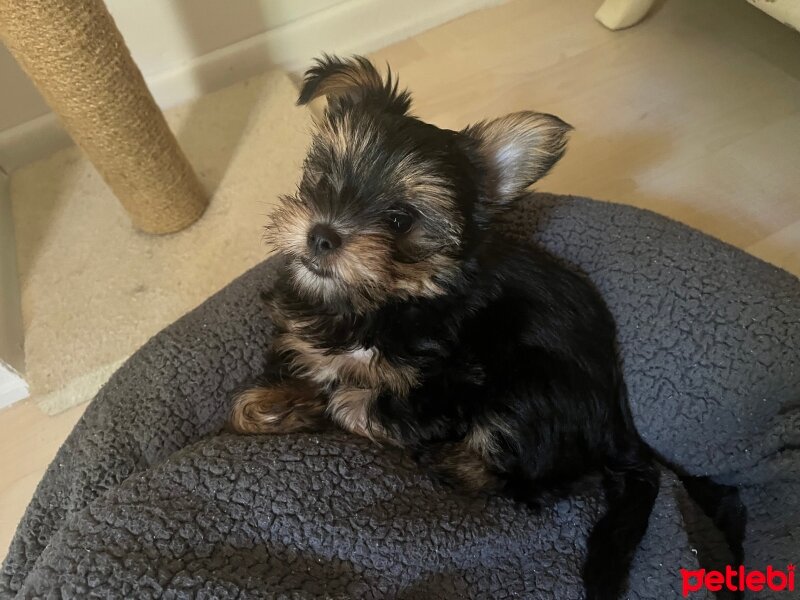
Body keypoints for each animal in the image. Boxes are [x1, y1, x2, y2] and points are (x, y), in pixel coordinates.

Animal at [228, 56, 660, 600]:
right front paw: (276, 406)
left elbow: (354, 402)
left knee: (525, 479)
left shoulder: (449, 388)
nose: (321, 235)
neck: (377, 302)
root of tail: (620, 425)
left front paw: (319, 405)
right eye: (323, 177)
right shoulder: (298, 336)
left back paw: (444, 463)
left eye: (399, 220)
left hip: (530, 388)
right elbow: (251, 401)